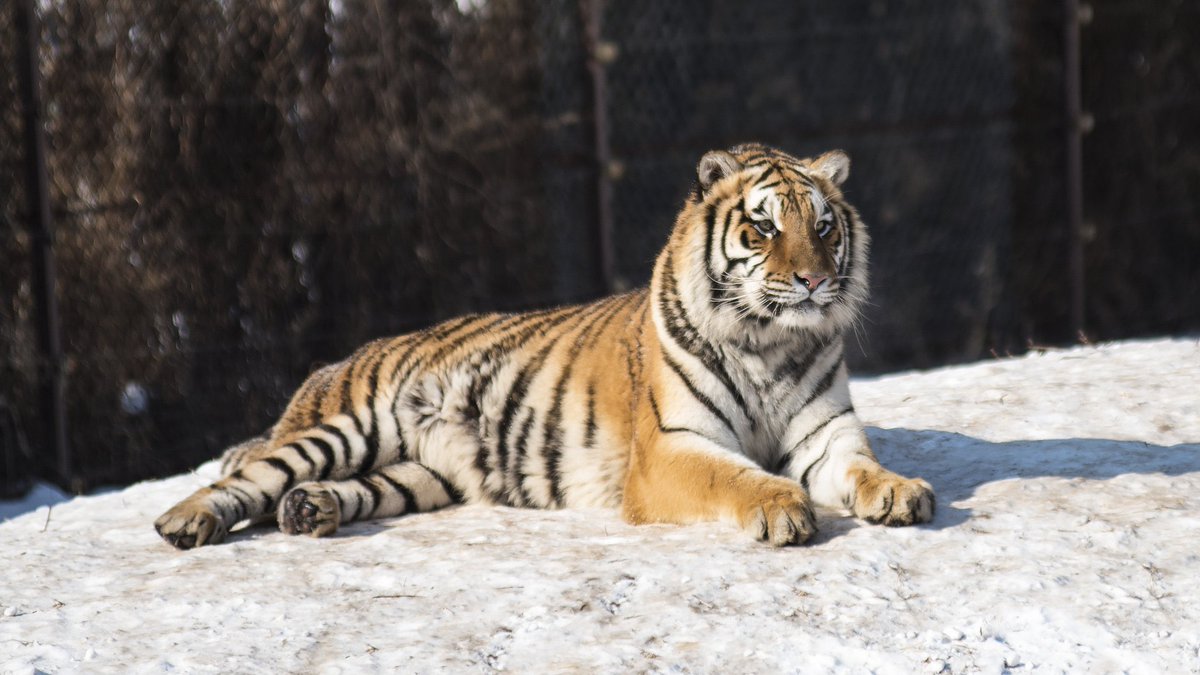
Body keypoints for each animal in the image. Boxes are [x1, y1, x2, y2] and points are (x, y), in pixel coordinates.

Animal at [152, 141, 936, 547]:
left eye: (824, 226)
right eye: (765, 227)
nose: (812, 280)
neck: (770, 344)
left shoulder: (827, 439)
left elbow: (863, 468)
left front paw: (901, 493)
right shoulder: (672, 450)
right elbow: (736, 477)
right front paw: (780, 506)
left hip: (416, 474)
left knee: (340, 488)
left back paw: (309, 510)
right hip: (350, 424)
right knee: (247, 476)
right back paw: (184, 521)